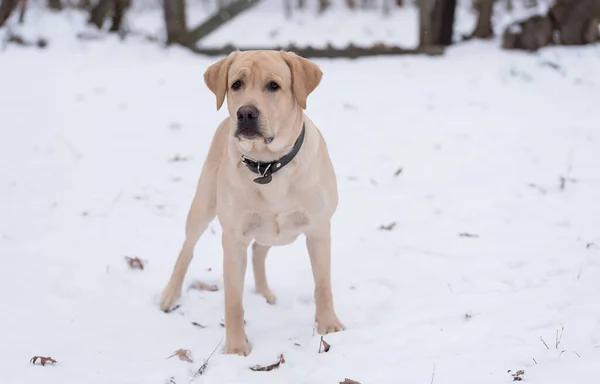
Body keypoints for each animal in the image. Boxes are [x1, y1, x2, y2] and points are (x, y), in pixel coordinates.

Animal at [159, 49, 344, 356]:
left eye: (274, 86)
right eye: (236, 84)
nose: (245, 112)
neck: (269, 166)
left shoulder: (319, 229)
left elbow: (323, 285)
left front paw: (329, 325)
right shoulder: (234, 239)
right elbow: (233, 300)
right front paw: (235, 348)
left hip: (278, 231)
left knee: (259, 250)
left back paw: (265, 293)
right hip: (204, 205)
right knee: (187, 250)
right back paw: (169, 295)